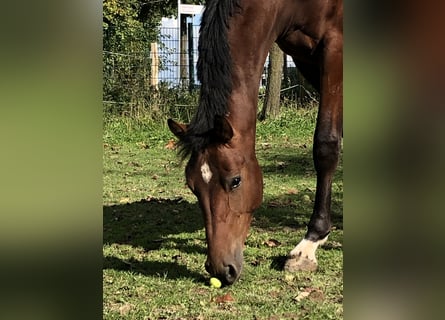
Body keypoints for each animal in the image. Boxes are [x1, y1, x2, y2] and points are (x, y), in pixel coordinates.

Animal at [168, 0, 342, 284]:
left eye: (235, 181)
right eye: (192, 186)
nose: (221, 270)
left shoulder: (335, 47)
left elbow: (326, 145)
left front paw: (310, 243)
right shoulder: (306, 56)